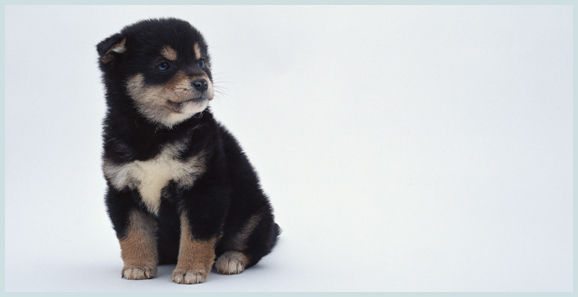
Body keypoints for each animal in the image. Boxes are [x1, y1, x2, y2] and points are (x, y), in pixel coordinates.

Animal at [96, 17, 280, 282]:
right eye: (163, 65)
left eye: (201, 61)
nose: (202, 82)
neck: (158, 132)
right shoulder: (122, 190)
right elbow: (133, 234)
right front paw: (138, 266)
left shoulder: (204, 188)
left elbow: (197, 236)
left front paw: (190, 270)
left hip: (255, 214)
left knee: (255, 246)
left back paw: (231, 259)